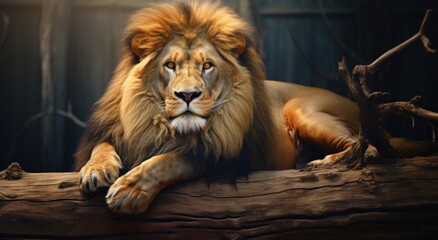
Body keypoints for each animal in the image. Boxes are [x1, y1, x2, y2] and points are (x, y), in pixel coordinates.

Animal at [74, 0, 434, 214]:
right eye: (170, 66)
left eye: (207, 66)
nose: (188, 95)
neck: (158, 124)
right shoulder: (115, 131)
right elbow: (102, 146)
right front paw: (96, 170)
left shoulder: (226, 153)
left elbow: (171, 160)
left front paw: (129, 190)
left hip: (302, 111)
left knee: (368, 148)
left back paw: (322, 163)